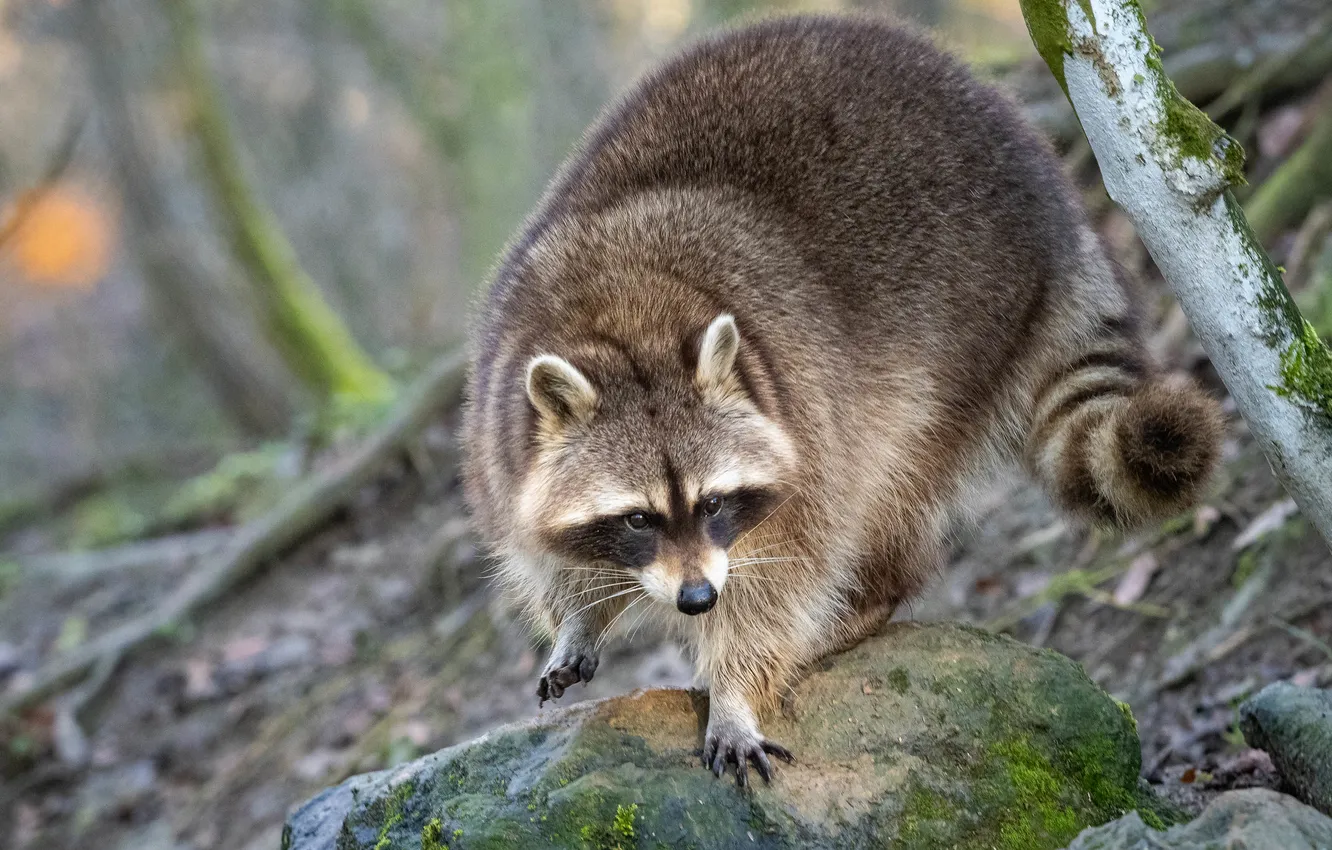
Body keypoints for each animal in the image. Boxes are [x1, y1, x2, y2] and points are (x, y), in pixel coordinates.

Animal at [461, 14, 1222, 785]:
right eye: (637, 518)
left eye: (714, 503)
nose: (697, 598)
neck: (623, 324)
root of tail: (1051, 188)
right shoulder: (499, 420)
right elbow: (544, 545)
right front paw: (580, 613)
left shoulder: (805, 422)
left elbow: (780, 586)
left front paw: (736, 690)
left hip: (964, 318)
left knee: (893, 479)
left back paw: (870, 596)